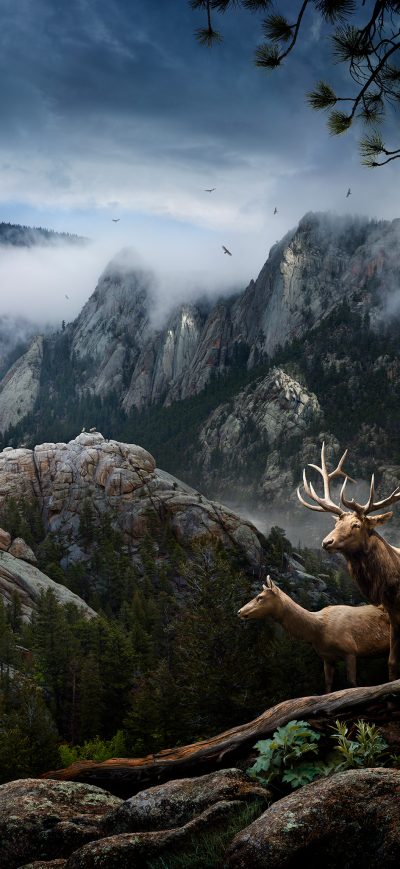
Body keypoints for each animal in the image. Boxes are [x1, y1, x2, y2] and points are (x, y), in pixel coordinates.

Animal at [238, 576, 389, 693]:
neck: (318, 630)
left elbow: (352, 683)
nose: (239, 611)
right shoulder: (327, 657)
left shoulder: (350, 650)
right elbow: (328, 685)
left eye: (260, 597)